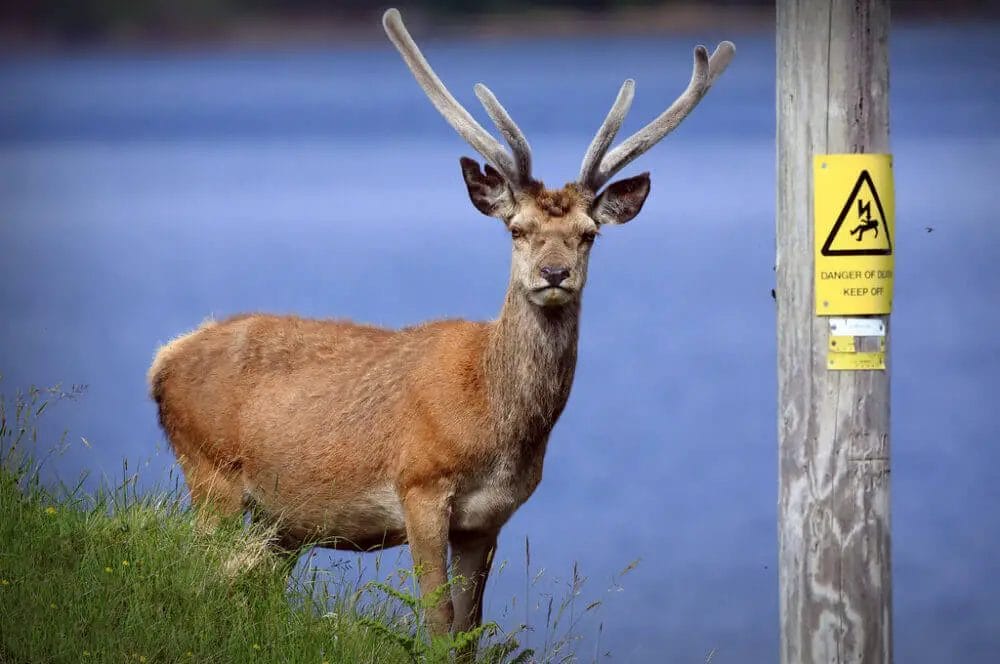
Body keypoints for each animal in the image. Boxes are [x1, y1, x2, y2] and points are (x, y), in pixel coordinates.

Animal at [148, 6, 733, 650]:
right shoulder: (419, 486)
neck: (494, 422)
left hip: (280, 521)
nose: (554, 274)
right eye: (517, 230)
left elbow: (468, 632)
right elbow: (435, 623)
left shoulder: (490, 518)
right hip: (210, 475)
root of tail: (162, 360)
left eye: (589, 234)